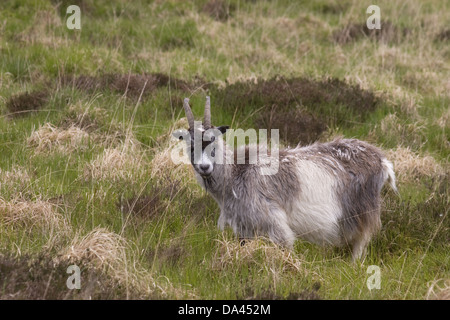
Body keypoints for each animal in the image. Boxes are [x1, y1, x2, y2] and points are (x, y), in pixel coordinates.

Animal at [176, 96, 398, 262]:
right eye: (191, 146)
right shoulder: (244, 226)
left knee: (360, 245)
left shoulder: (273, 222)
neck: (237, 171)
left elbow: (285, 246)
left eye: (213, 141)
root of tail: (382, 161)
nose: (205, 167)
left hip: (363, 215)